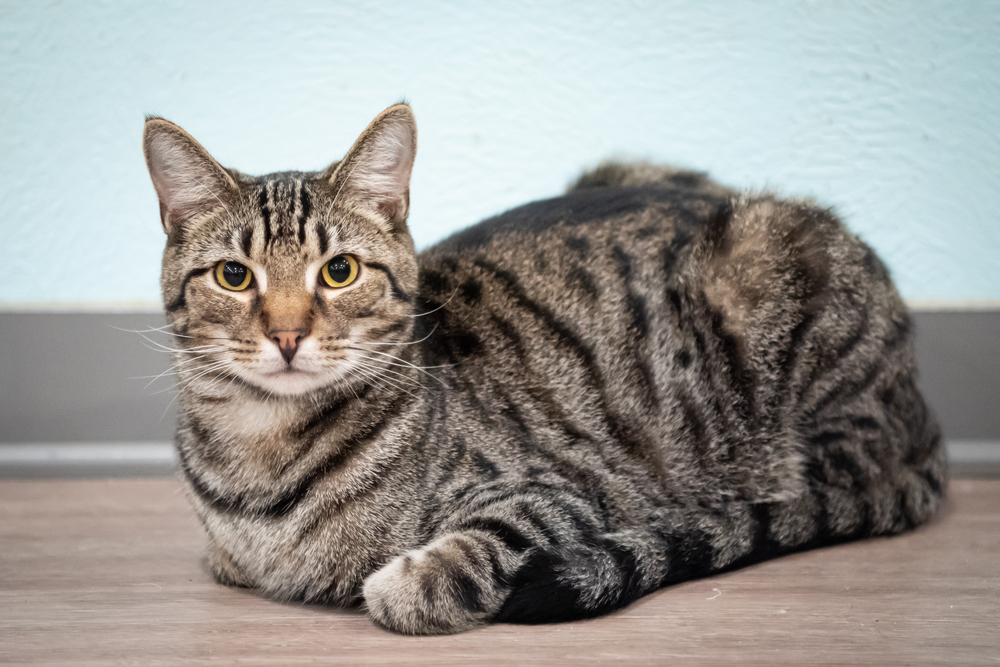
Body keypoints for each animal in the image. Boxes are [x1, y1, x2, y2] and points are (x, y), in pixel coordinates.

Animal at [141, 102, 944, 636]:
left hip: (779, 278)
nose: (286, 334)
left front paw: (407, 581)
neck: (262, 457)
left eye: (338, 271)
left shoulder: (563, 493)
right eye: (235, 276)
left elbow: (471, 552)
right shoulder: (229, 557)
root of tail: (921, 412)